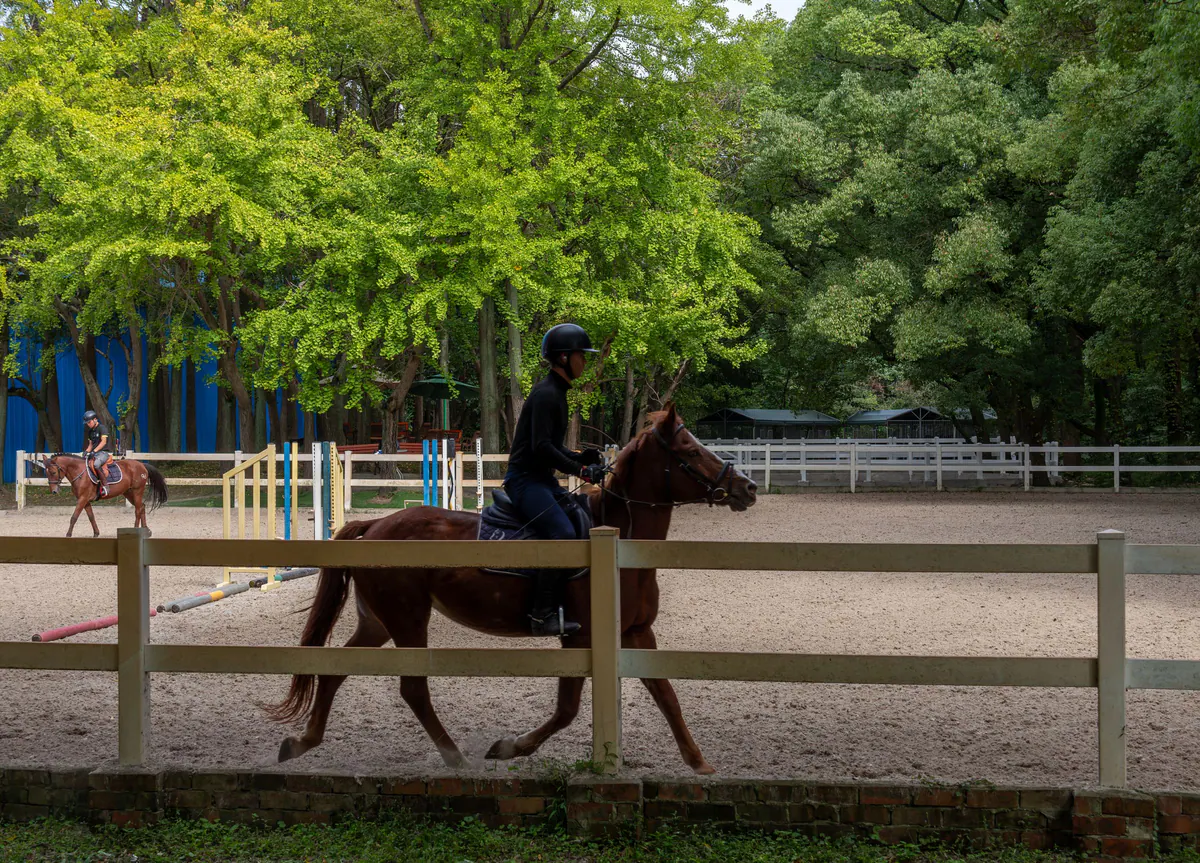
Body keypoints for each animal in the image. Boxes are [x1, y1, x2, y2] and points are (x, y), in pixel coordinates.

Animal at [41, 453, 169, 538]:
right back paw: (146, 530)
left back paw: (135, 530)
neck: (80, 472)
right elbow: (91, 517)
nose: (54, 491)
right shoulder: (85, 501)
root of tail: (141, 464)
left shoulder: (82, 499)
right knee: (142, 507)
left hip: (137, 491)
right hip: (128, 492)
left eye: (53, 472)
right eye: (46, 473)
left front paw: (68, 534)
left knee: (138, 510)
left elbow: (74, 517)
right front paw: (96, 533)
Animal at [268, 403, 757, 775]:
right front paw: (510, 747)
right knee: (413, 690)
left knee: (334, 671)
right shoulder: (579, 636)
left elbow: (667, 695)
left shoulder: (636, 633)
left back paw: (302, 742)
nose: (747, 487)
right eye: (689, 450)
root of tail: (374, 526)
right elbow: (567, 709)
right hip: (407, 620)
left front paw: (699, 763)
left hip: (380, 622)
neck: (621, 538)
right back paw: (455, 756)